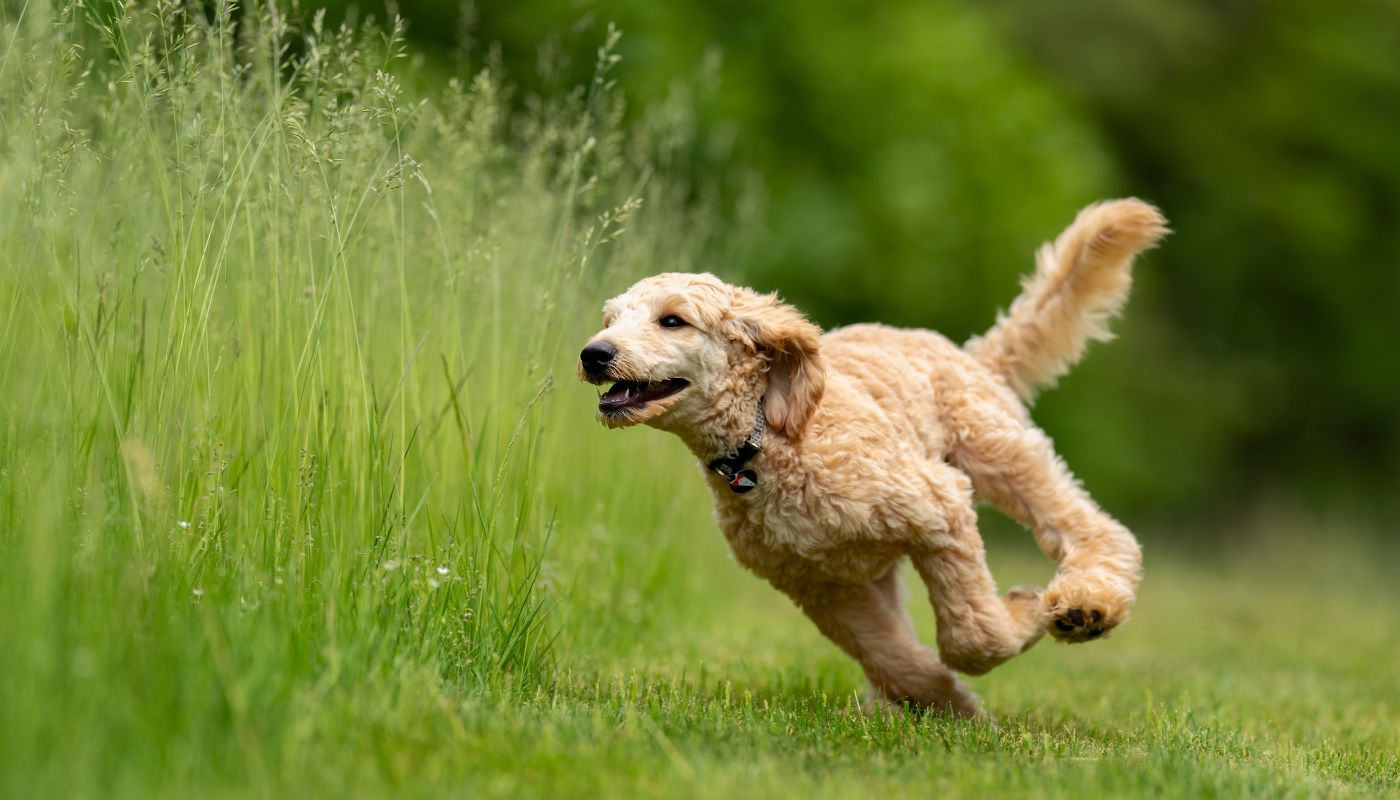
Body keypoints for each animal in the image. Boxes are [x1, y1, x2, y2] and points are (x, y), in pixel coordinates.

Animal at [579, 201, 1170, 717]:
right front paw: (947, 704)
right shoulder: (821, 586)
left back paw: (1087, 606)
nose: (593, 353)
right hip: (880, 561)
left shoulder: (938, 505)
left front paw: (1022, 615)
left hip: (997, 451)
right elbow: (891, 654)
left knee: (1092, 527)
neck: (766, 444)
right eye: (610, 319)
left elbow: (972, 635)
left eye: (672, 321)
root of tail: (968, 353)